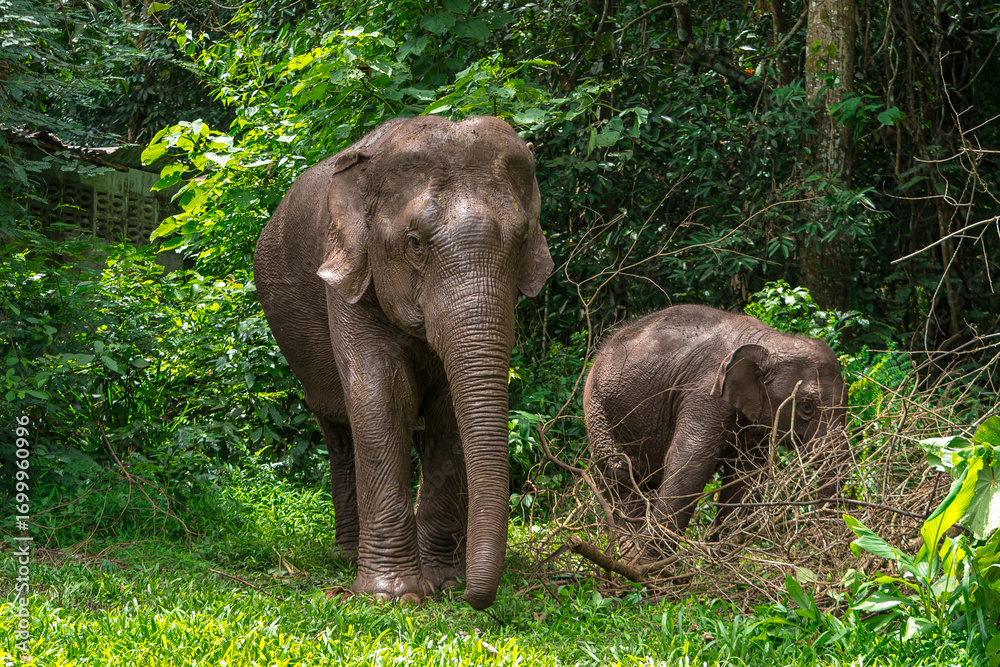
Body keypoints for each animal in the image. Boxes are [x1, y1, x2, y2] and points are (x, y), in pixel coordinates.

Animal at [253, 115, 553, 609]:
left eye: (523, 240)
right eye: (414, 243)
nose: (474, 597)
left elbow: (449, 411)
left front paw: (444, 582)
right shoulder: (349, 275)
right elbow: (382, 395)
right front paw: (394, 597)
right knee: (339, 430)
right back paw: (346, 555)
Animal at [583, 304, 849, 553]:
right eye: (807, 406)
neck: (770, 340)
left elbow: (745, 478)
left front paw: (721, 559)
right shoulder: (705, 391)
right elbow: (690, 464)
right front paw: (651, 568)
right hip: (597, 408)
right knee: (619, 472)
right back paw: (629, 555)